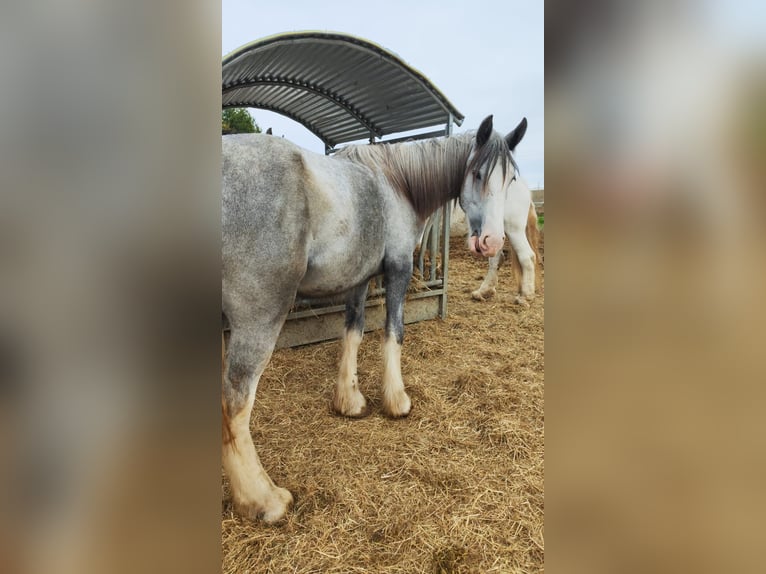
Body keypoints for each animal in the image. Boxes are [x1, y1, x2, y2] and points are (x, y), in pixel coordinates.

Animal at [222, 115, 525, 523]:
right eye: (477, 173)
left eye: (510, 179)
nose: (492, 242)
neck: (398, 185)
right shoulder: (398, 268)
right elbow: (393, 332)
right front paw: (396, 400)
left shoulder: (359, 278)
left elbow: (353, 331)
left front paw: (348, 400)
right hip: (260, 316)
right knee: (236, 402)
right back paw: (262, 500)